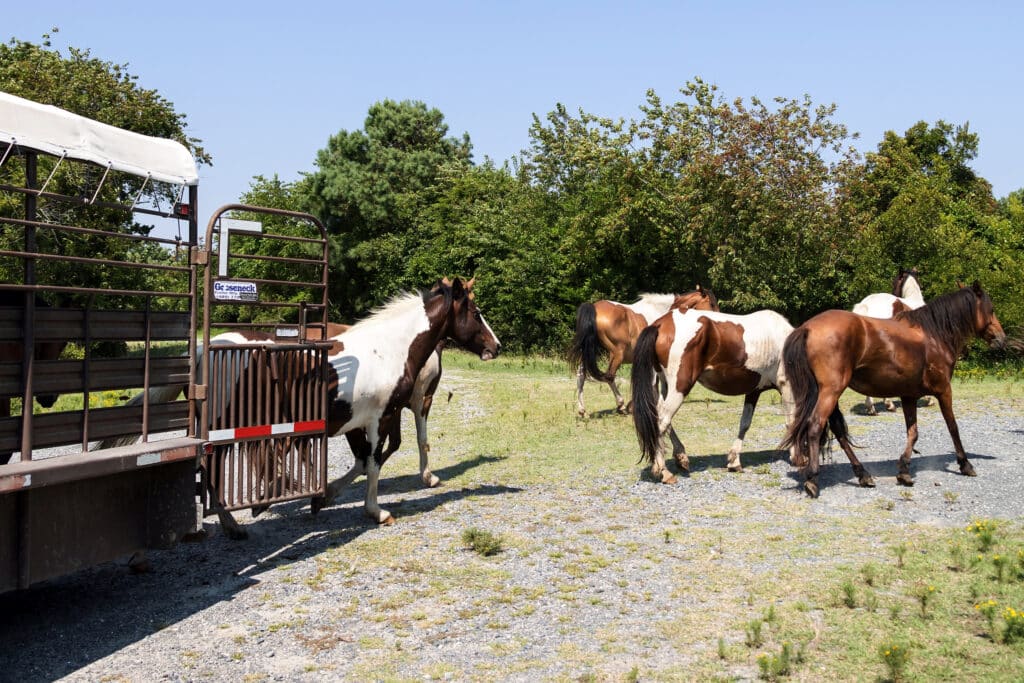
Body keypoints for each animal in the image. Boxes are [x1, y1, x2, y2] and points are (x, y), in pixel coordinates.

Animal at [569, 284, 720, 417]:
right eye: (712, 304)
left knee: (581, 375)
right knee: (609, 376)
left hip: (587, 353)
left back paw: (583, 411)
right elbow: (654, 382)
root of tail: (594, 308)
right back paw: (621, 405)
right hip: (617, 354)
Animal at [626, 307, 794, 483]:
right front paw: (797, 458)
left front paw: (734, 462)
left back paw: (681, 457)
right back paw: (664, 472)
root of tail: (660, 324)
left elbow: (745, 423)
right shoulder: (786, 386)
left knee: (660, 417)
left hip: (665, 386)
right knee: (662, 421)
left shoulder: (754, 391)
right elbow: (792, 422)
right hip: (680, 387)